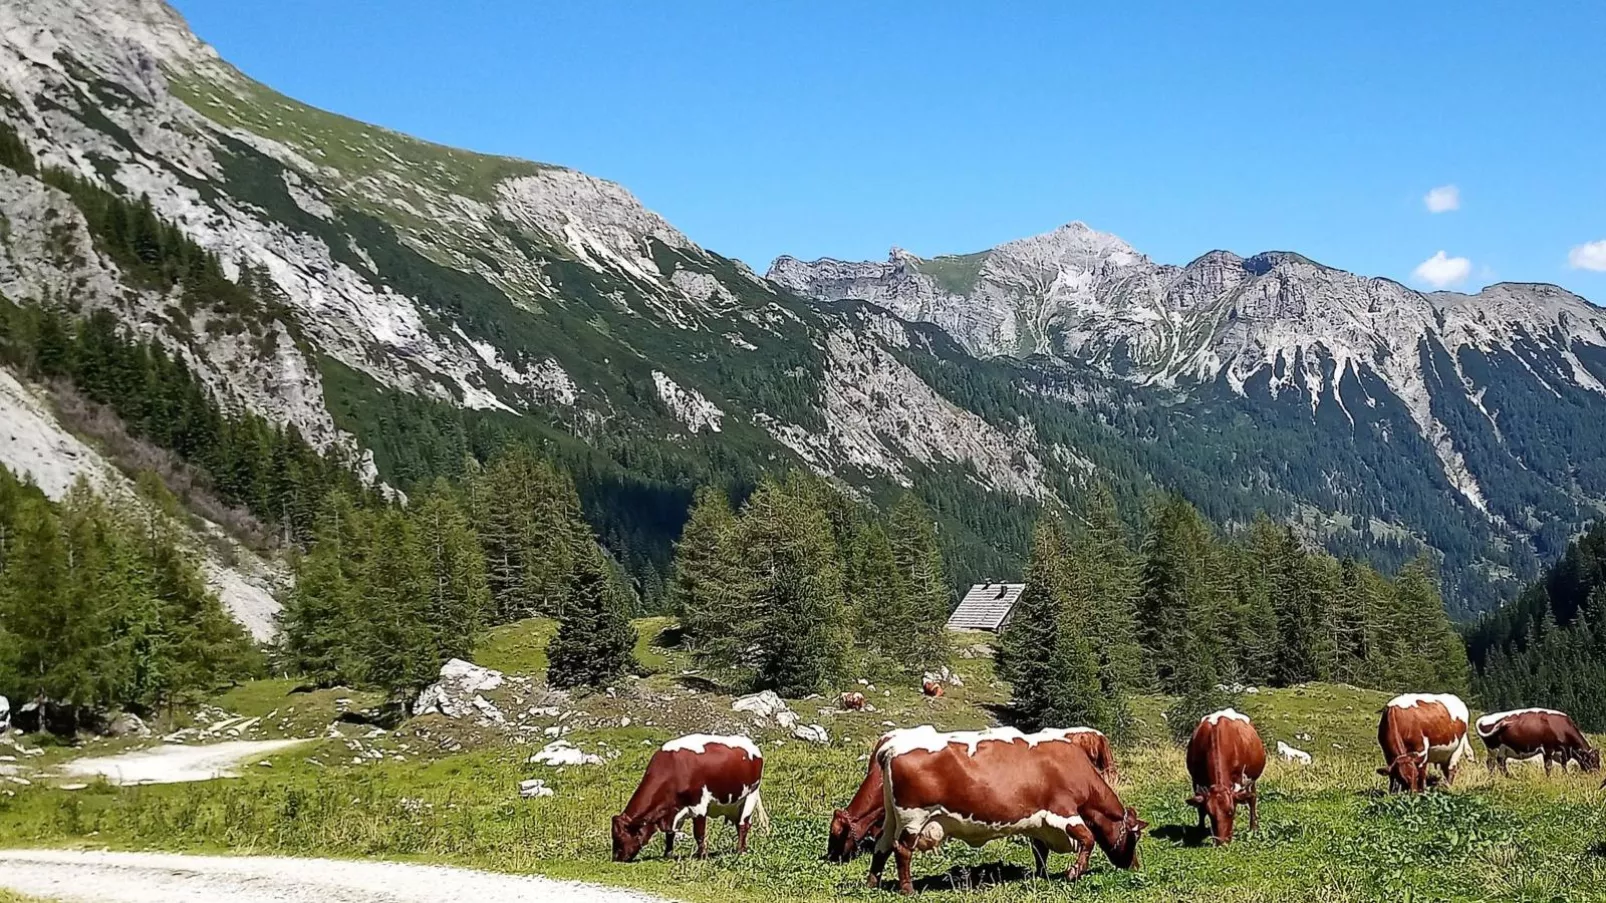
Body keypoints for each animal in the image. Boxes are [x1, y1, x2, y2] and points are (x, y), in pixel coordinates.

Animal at [610, 732, 767, 854]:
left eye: (620, 838)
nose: (616, 858)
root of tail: (752, 746)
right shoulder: (674, 811)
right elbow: (670, 834)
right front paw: (668, 854)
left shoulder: (699, 805)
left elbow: (699, 833)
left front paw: (701, 855)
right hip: (733, 804)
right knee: (739, 824)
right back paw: (742, 849)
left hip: (751, 795)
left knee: (743, 825)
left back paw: (740, 851)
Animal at [867, 719, 1143, 886]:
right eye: (1134, 837)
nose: (1136, 866)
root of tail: (892, 744)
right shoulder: (1062, 812)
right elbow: (1088, 839)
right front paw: (1074, 872)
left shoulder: (1039, 821)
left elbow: (1040, 851)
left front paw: (1041, 875)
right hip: (913, 817)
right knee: (902, 850)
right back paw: (907, 889)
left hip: (892, 818)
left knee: (881, 845)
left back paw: (873, 883)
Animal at [1182, 706, 1265, 841]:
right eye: (1210, 814)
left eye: (1231, 811)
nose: (1222, 842)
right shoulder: (1196, 781)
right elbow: (1200, 806)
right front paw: (1200, 830)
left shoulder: (1238, 781)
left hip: (1252, 779)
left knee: (1252, 798)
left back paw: (1253, 828)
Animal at [1471, 703, 1599, 774]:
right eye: (1592, 760)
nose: (1596, 772)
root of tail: (1483, 718)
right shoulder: (1548, 749)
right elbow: (1548, 766)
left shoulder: (1561, 752)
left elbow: (1563, 766)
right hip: (1495, 748)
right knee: (1494, 764)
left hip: (1500, 750)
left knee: (1496, 764)